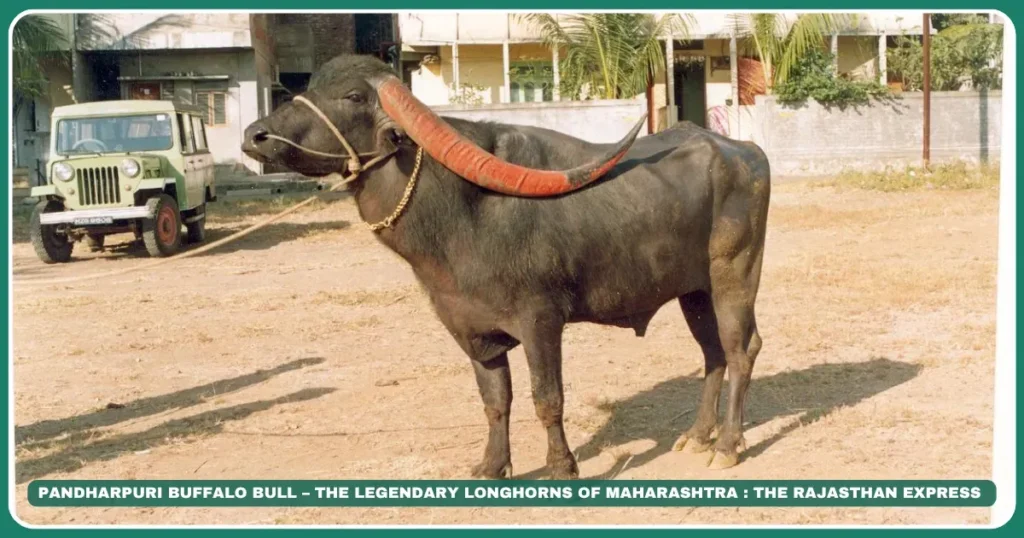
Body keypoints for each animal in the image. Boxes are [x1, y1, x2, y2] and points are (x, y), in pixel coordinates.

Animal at [243, 55, 770, 477]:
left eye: (352, 96)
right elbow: (496, 402)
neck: (463, 210)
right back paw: (698, 437)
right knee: (713, 354)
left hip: (734, 279)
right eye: (311, 85)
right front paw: (492, 466)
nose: (255, 135)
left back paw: (727, 445)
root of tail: (744, 152)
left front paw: (561, 467)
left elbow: (547, 398)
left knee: (741, 350)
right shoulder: (471, 330)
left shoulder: (541, 321)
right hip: (693, 292)